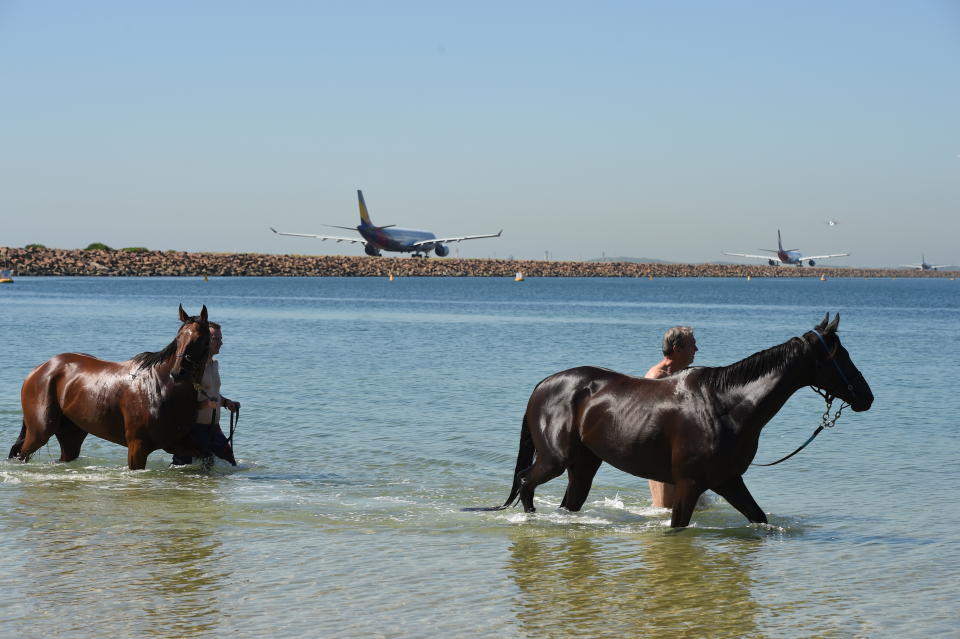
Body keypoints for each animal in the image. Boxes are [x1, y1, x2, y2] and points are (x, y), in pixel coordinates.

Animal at [9, 304, 212, 470]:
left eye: (201, 339)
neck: (160, 387)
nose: (178, 372)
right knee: (22, 454)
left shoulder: (176, 442)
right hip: (39, 432)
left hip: (71, 435)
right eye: (179, 338)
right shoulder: (137, 447)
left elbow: (207, 457)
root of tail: (40, 369)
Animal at [476, 312, 872, 528]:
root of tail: (543, 386)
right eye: (841, 355)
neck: (725, 405)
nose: (866, 397)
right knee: (525, 482)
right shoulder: (689, 484)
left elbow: (759, 517)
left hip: (584, 466)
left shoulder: (728, 481)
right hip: (554, 460)